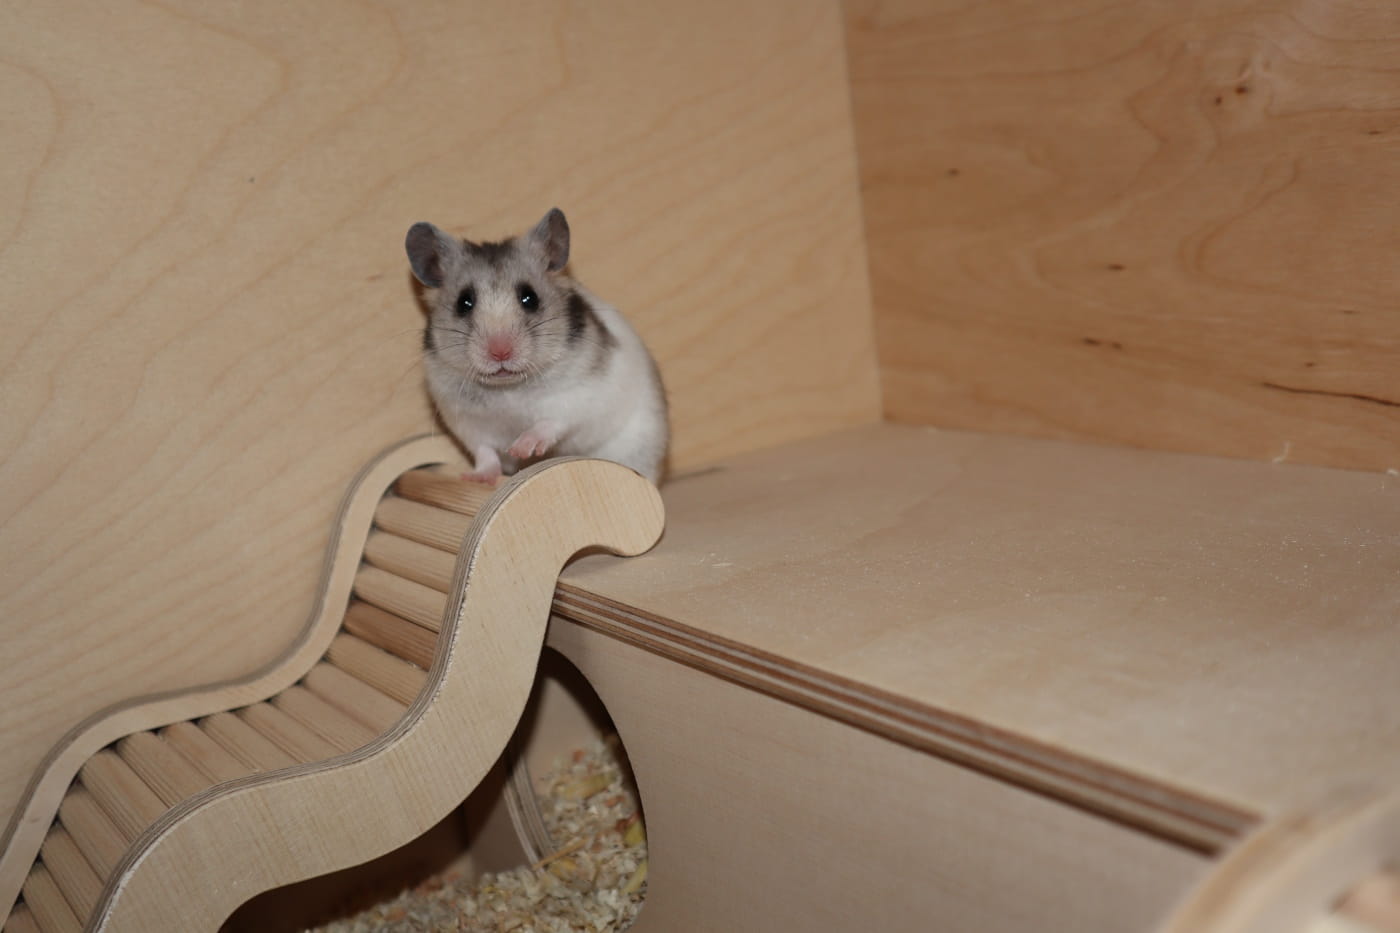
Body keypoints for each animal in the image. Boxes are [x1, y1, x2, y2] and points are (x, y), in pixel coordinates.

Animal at [405, 208, 669, 485]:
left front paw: (521, 449)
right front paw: (477, 477)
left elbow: (548, 423)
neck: (508, 389)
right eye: (464, 302)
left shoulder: (577, 399)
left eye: (530, 297)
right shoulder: (467, 423)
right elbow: (485, 452)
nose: (500, 352)